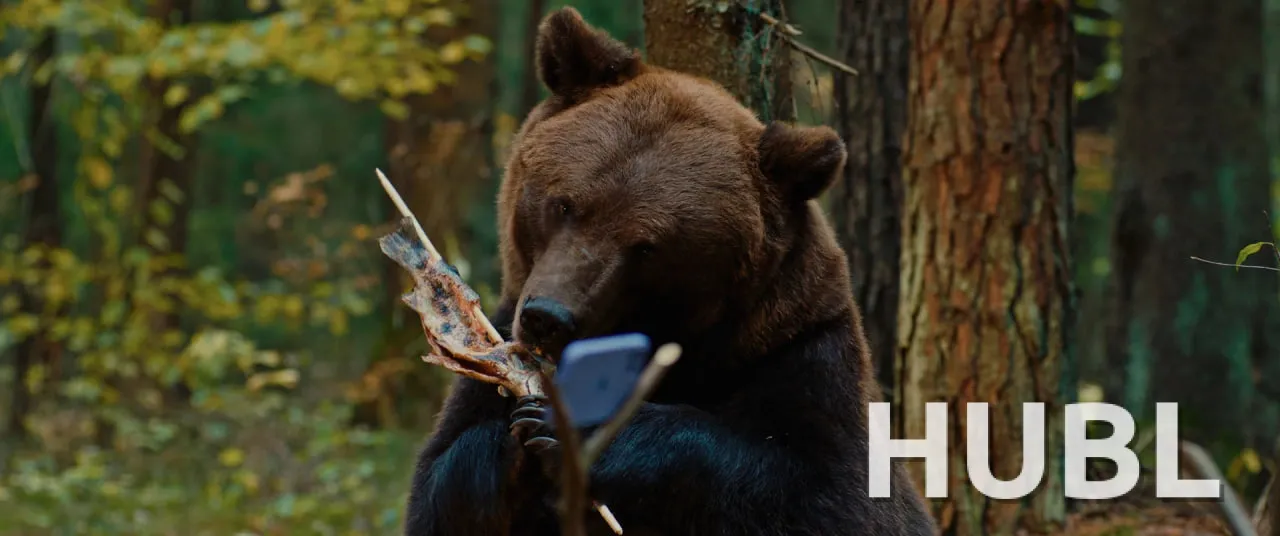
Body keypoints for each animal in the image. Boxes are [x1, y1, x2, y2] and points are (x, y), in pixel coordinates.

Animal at [403, 6, 937, 536]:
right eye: (564, 204)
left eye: (646, 247)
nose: (547, 318)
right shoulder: (494, 342)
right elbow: (440, 487)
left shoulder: (801, 356)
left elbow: (826, 493)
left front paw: (578, 424)